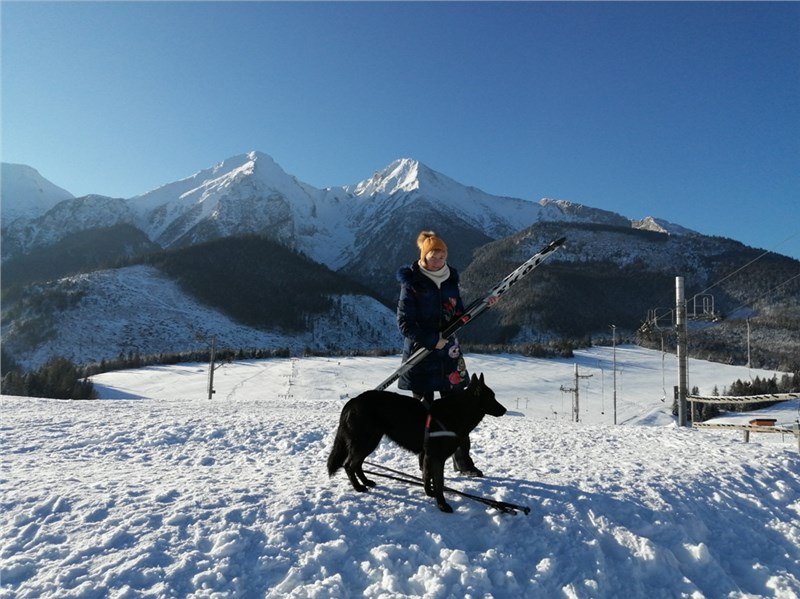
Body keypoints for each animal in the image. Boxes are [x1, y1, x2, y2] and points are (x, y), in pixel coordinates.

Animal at [326, 372, 506, 512]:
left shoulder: (427, 456)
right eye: (492, 397)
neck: (457, 411)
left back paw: (366, 482)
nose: (504, 410)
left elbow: (427, 476)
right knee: (349, 465)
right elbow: (439, 483)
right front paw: (442, 505)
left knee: (357, 464)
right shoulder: (437, 458)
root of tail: (352, 402)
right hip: (365, 442)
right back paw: (358, 487)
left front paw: (429, 493)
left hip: (369, 443)